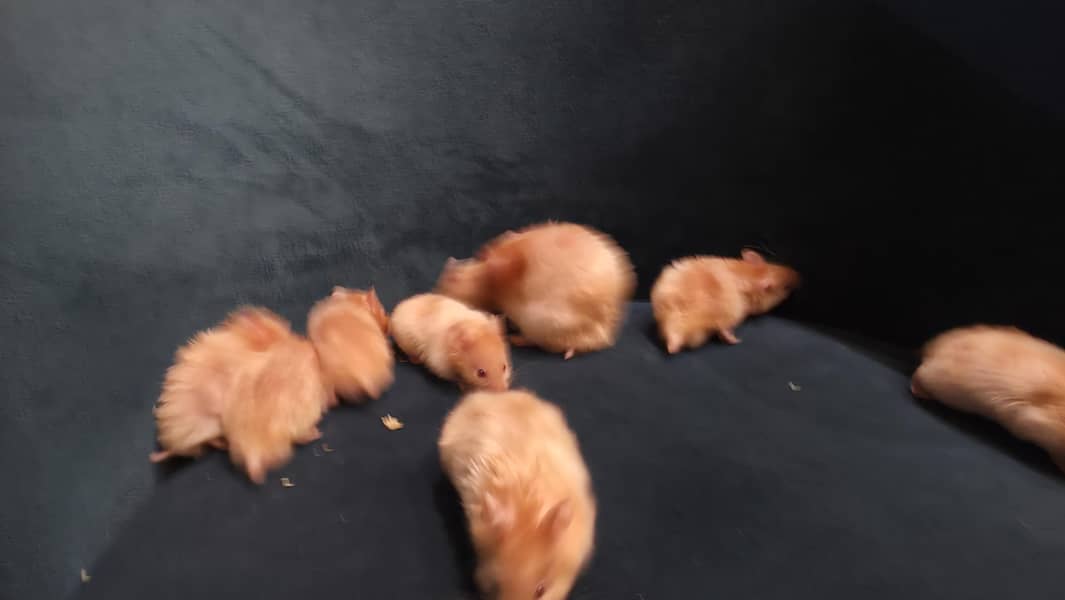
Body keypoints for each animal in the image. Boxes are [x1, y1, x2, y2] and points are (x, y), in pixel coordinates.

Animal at [435, 222, 635, 359]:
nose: (436, 291)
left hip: (541, 323)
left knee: (545, 343)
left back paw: (515, 338)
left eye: (446, 284)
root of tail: (603, 337)